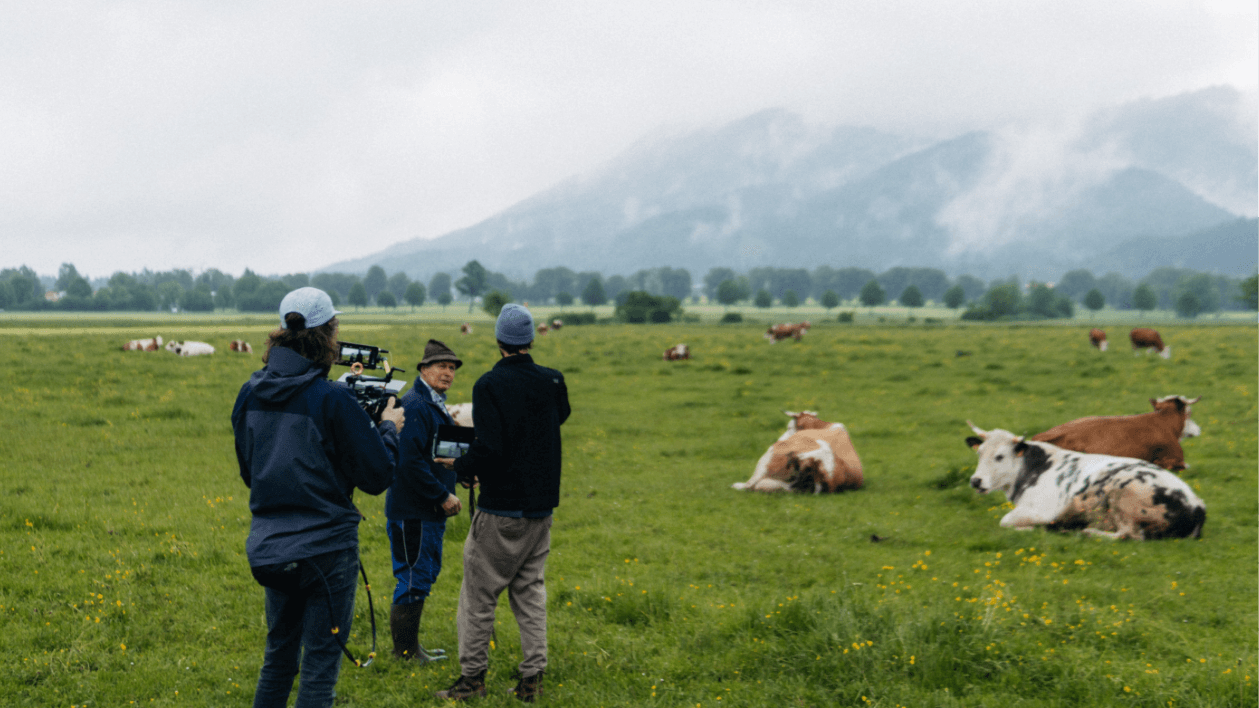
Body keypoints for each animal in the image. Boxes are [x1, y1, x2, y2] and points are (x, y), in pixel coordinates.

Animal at [961, 418, 1208, 539]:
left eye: (1000, 456)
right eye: (979, 453)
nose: (976, 481)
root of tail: (1197, 504)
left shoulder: (1042, 511)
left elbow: (1005, 521)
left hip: (1124, 493)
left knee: (1129, 535)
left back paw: (1087, 532)